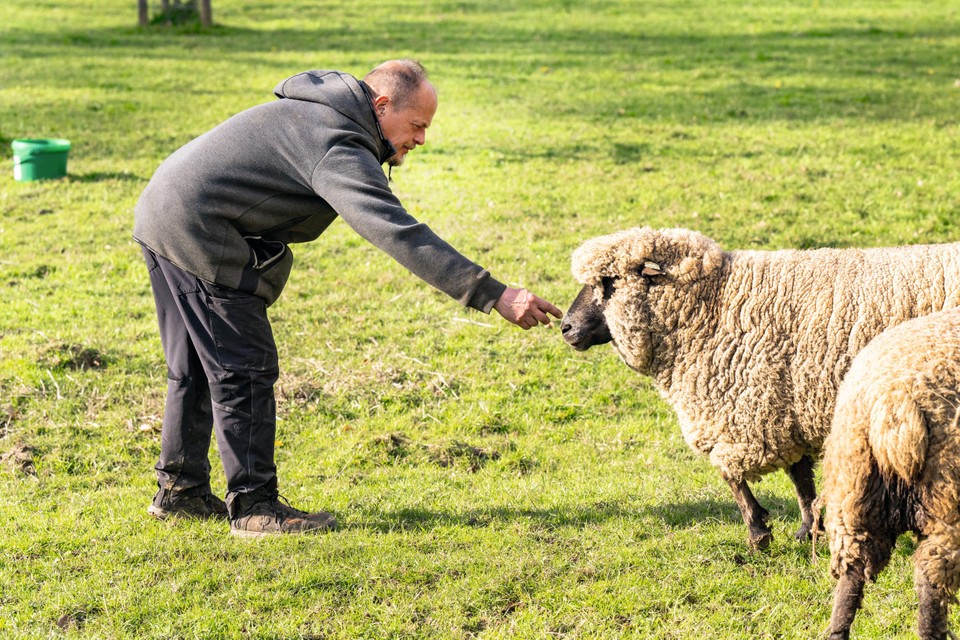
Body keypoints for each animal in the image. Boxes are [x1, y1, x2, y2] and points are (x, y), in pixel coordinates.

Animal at [560, 228, 960, 548]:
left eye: (607, 283)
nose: (566, 327)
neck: (712, 306)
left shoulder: (749, 413)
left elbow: (733, 477)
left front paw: (758, 534)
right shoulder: (784, 408)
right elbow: (800, 477)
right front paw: (808, 530)